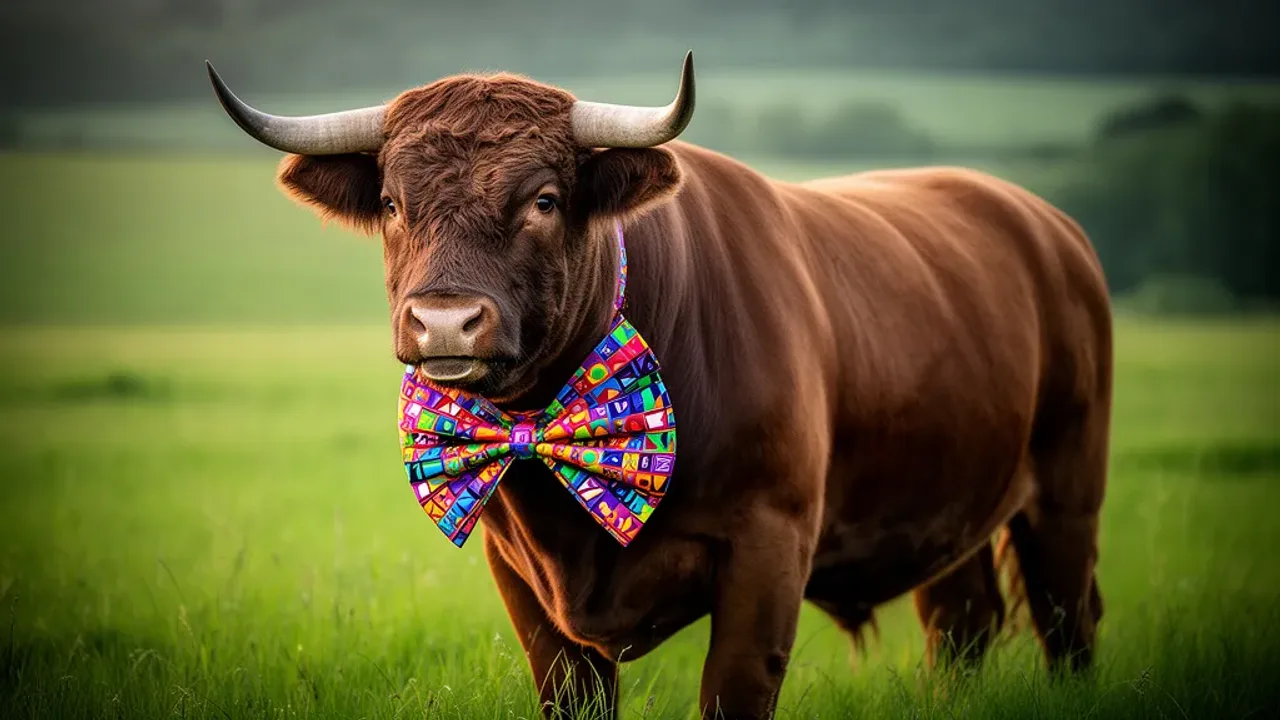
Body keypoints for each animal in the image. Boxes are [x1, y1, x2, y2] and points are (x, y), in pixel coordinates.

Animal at [207, 52, 1112, 720]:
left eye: (545, 200)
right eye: (393, 203)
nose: (444, 323)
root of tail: (1043, 222)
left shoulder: (768, 550)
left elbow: (732, 694)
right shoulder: (521, 581)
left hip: (1067, 494)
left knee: (1068, 622)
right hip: (946, 509)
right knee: (962, 625)